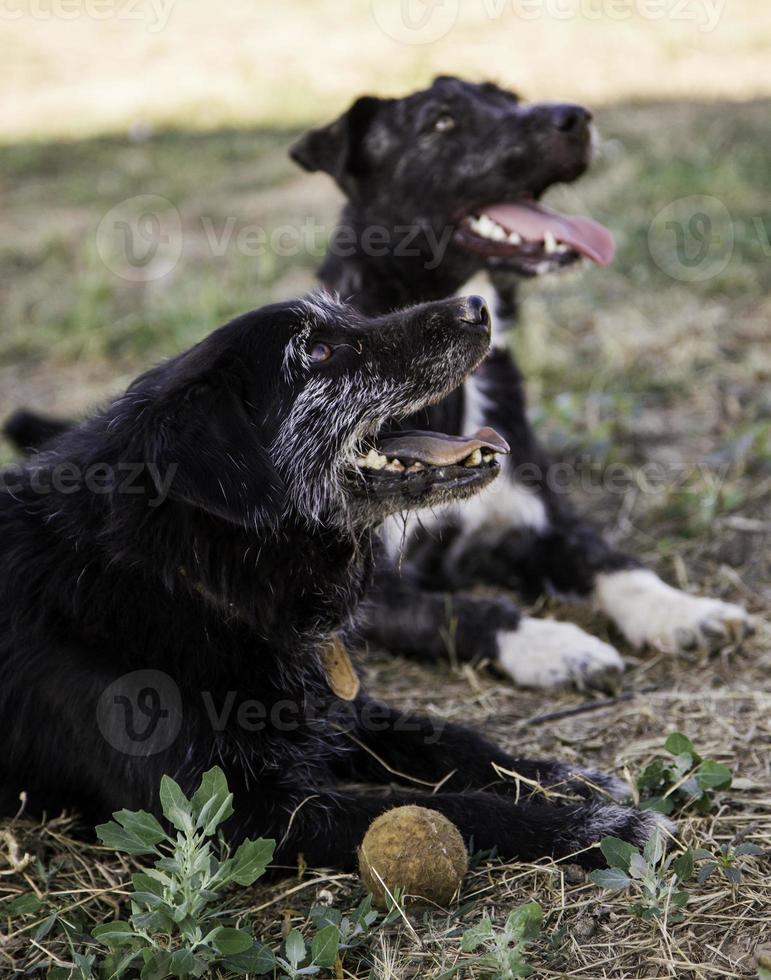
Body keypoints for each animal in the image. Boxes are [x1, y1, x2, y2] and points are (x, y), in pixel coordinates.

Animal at [0, 294, 664, 868]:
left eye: (347, 313)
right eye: (317, 352)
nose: (476, 305)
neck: (190, 577)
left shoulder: (333, 714)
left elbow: (453, 742)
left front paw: (562, 779)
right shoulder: (243, 818)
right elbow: (452, 808)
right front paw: (596, 828)